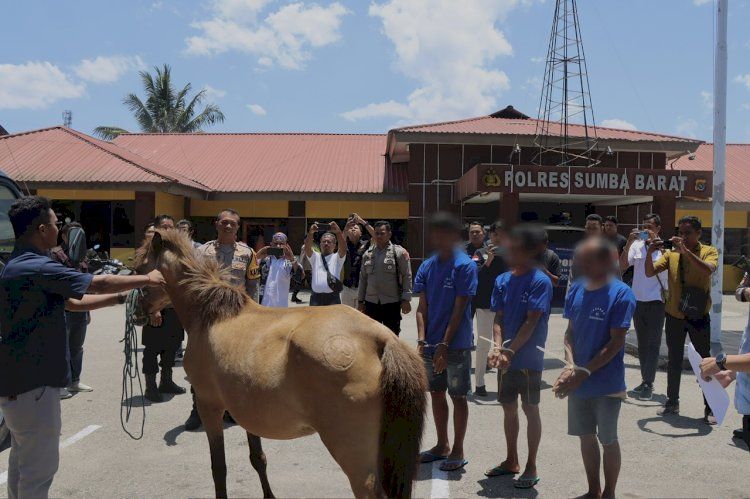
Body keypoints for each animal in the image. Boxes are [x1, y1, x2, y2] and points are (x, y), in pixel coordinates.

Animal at [134, 231, 428, 499]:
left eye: (140, 268)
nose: (137, 312)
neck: (214, 315)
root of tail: (381, 337)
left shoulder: (210, 406)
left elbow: (219, 468)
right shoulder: (246, 411)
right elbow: (258, 459)